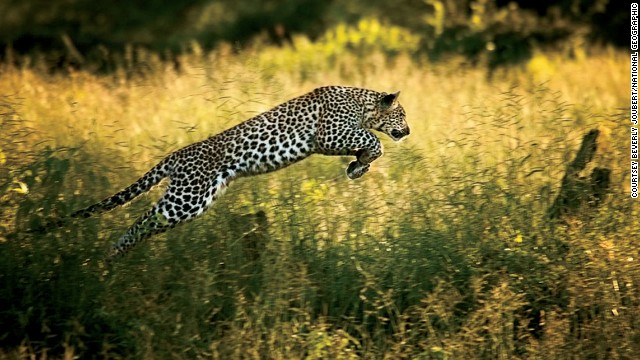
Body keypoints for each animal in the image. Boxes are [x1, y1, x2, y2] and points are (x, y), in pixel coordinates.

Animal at [61, 86, 410, 258]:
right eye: (403, 115)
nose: (408, 131)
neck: (362, 105)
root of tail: (177, 154)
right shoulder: (331, 133)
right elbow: (375, 141)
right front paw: (362, 161)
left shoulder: (339, 137)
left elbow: (368, 146)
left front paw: (357, 167)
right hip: (187, 197)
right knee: (145, 219)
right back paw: (114, 253)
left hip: (194, 197)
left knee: (149, 220)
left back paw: (118, 254)